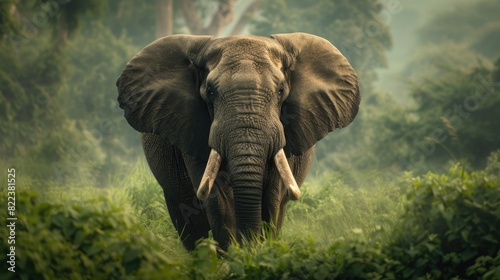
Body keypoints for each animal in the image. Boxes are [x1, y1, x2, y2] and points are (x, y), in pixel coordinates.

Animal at [117, 32, 360, 252]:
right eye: (211, 92)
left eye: (281, 91)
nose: (249, 244)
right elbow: (218, 199)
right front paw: (236, 258)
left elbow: (272, 196)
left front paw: (258, 252)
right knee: (188, 222)